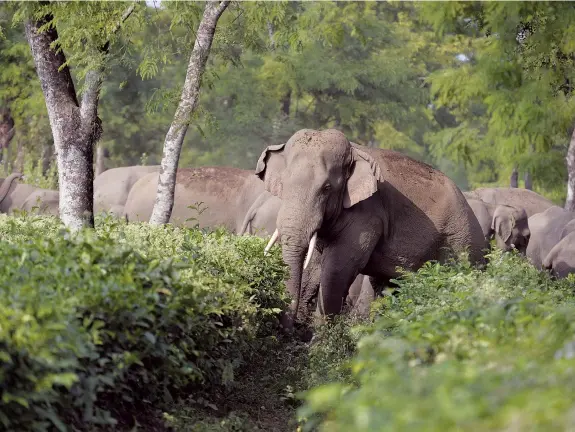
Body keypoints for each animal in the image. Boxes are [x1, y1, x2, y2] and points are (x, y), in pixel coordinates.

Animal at [258, 128, 488, 328]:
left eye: (326, 188)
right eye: (284, 184)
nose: (287, 330)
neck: (353, 150)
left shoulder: (367, 214)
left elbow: (337, 269)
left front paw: (320, 341)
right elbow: (315, 267)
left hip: (461, 245)